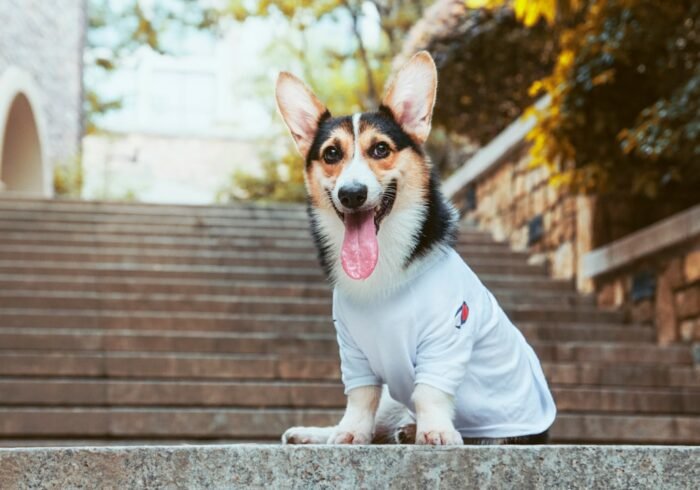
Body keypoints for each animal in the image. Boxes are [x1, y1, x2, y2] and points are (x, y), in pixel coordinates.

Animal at [276, 51, 556, 446]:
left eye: (381, 149)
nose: (352, 194)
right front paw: (349, 432)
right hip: (393, 399)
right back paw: (320, 433)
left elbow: (430, 392)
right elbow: (360, 397)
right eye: (331, 154)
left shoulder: (447, 338)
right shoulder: (353, 350)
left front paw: (436, 431)